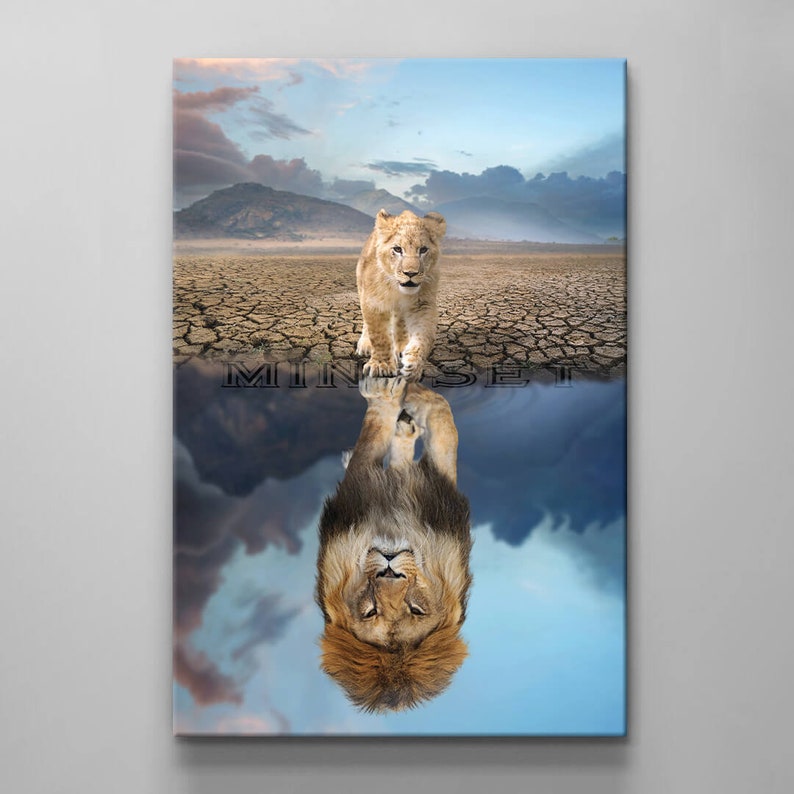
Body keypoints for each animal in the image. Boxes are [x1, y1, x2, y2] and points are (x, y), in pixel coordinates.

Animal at [316, 376, 472, 712]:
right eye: (371, 611)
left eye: (415, 609)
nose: (389, 571)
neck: (393, 526)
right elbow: (440, 422)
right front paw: (398, 395)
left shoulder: (437, 495)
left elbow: (441, 425)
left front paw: (399, 396)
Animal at [355, 209, 447, 382]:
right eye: (397, 249)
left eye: (423, 249)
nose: (410, 273)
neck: (397, 289)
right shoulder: (373, 302)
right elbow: (379, 335)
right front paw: (381, 365)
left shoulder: (423, 304)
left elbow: (425, 336)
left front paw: (414, 364)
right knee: (366, 324)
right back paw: (365, 345)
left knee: (401, 323)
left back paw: (402, 348)